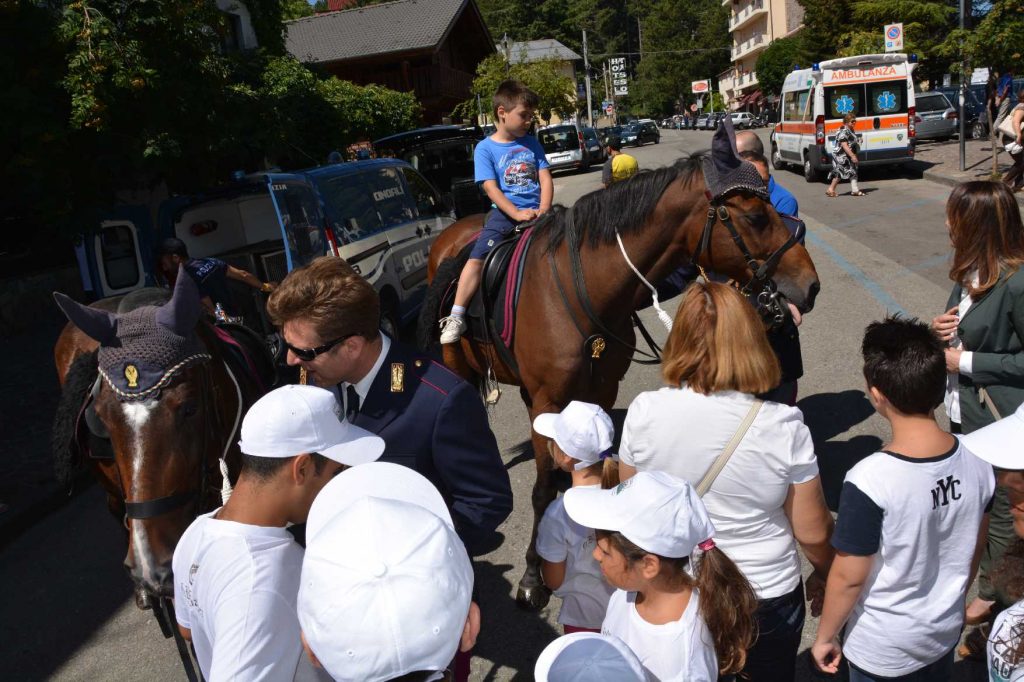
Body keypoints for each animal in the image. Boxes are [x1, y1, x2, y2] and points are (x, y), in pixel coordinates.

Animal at [419, 152, 819, 606]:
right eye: (755, 216)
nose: (810, 285)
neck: (580, 287)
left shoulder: (601, 391)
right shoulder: (546, 400)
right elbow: (541, 493)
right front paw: (533, 575)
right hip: (460, 366)